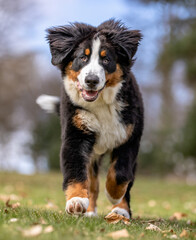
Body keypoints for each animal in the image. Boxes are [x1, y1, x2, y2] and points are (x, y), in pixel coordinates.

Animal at [36, 19, 144, 219]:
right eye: (83, 58)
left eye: (106, 59)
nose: (92, 80)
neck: (101, 104)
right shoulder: (75, 135)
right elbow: (76, 171)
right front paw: (76, 200)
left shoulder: (129, 137)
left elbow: (120, 173)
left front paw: (114, 195)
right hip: (92, 156)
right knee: (92, 184)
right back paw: (90, 212)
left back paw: (121, 211)